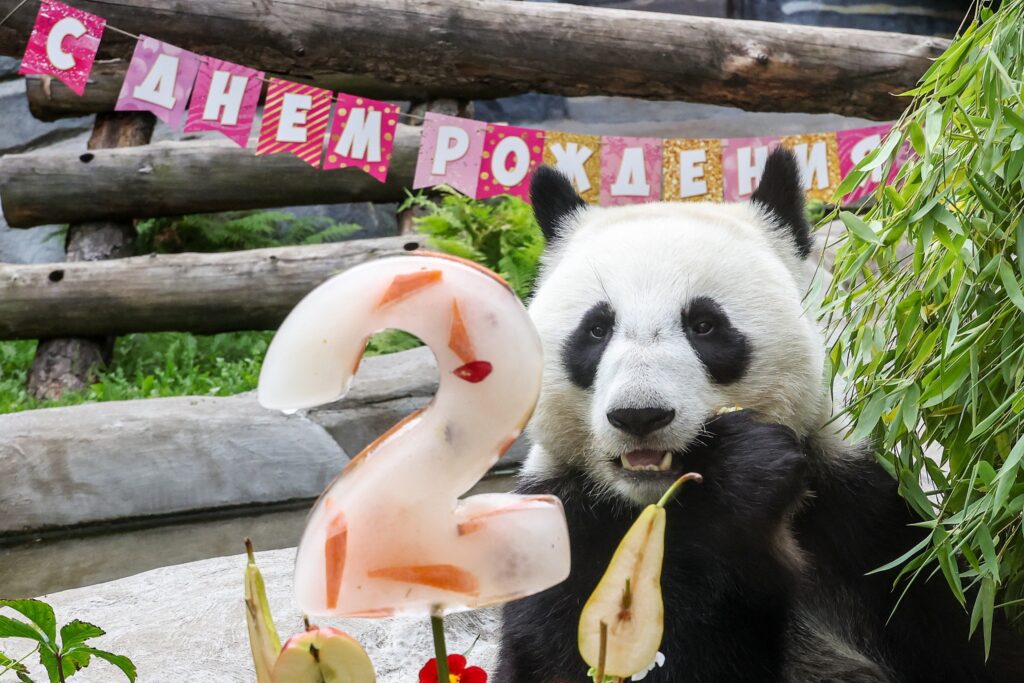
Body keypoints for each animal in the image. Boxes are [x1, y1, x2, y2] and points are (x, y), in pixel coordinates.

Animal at [495, 150, 1023, 683]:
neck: (658, 504)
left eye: (705, 325)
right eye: (597, 330)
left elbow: (967, 632)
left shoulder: (873, 522)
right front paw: (747, 472)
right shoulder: (560, 530)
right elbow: (612, 651)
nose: (639, 415)